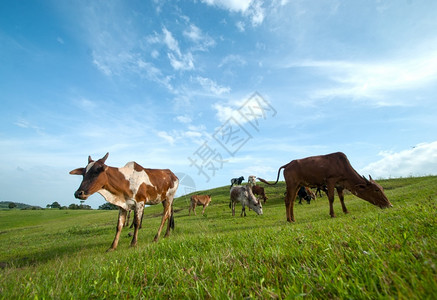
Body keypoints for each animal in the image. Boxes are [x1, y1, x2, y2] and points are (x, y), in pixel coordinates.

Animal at [258, 152, 392, 223]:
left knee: (291, 201)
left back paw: (293, 218)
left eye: (382, 188)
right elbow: (331, 198)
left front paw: (346, 211)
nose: (390, 205)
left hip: (297, 186)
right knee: (287, 200)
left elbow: (341, 198)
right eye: (376, 190)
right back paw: (289, 219)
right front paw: (332, 214)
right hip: (291, 185)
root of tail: (288, 164)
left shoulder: (339, 185)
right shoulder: (330, 181)